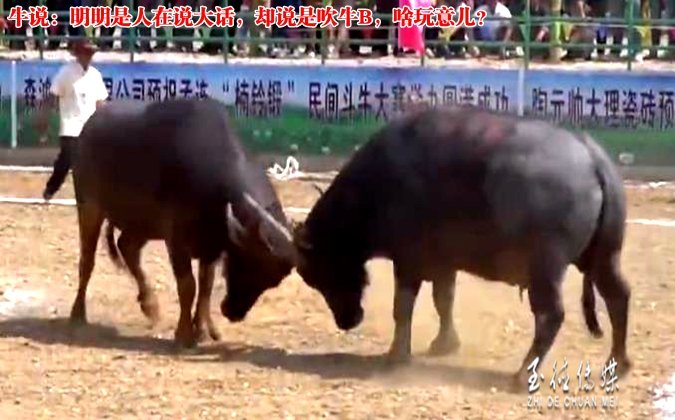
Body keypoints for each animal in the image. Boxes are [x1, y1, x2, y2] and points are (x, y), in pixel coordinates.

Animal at [69, 97, 296, 348]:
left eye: (271, 280)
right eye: (247, 264)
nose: (233, 313)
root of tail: (89, 128)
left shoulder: (211, 246)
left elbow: (206, 286)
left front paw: (204, 330)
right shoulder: (176, 239)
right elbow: (188, 285)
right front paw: (184, 333)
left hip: (143, 223)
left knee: (127, 247)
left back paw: (150, 305)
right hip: (89, 207)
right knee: (87, 261)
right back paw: (77, 315)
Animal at [292, 105, 631, 389]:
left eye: (317, 272)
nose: (347, 321)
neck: (375, 185)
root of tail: (591, 157)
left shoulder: (408, 261)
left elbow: (403, 307)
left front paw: (397, 355)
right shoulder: (444, 263)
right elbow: (444, 300)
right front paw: (445, 344)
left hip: (545, 269)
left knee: (551, 315)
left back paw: (523, 374)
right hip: (605, 256)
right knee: (618, 296)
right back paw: (618, 363)